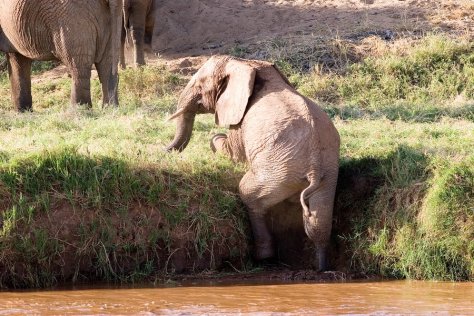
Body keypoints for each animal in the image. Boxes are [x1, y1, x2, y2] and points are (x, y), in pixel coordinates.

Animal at [167, 55, 340, 270]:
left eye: (200, 85)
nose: (166, 151)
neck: (249, 65)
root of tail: (314, 170)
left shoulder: (240, 121)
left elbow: (232, 153)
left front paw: (216, 138)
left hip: (277, 172)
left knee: (249, 195)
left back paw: (264, 258)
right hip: (328, 175)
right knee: (319, 219)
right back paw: (321, 267)